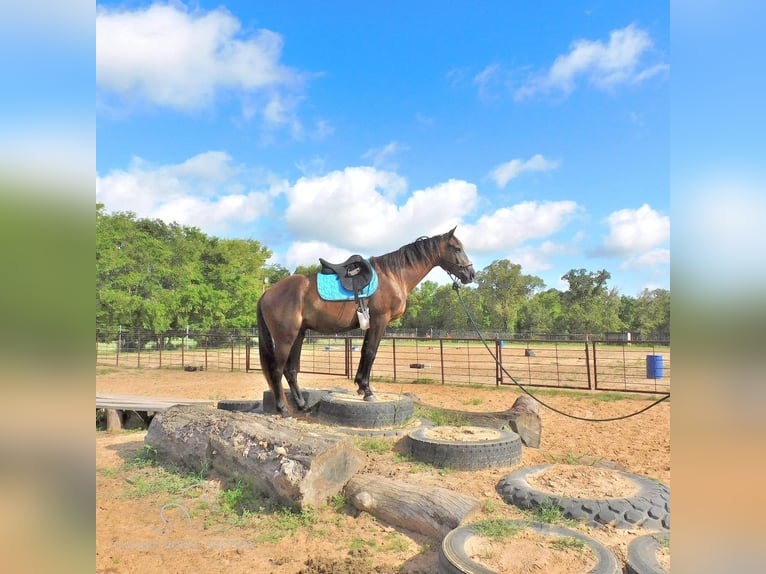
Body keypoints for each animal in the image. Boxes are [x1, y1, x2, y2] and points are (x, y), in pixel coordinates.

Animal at [256, 228, 474, 414]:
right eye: (457, 248)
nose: (471, 274)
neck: (394, 274)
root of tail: (267, 293)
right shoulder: (380, 320)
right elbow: (371, 352)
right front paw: (367, 391)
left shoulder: (370, 323)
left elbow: (364, 351)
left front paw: (362, 387)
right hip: (285, 338)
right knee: (277, 370)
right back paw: (282, 408)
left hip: (299, 335)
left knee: (291, 370)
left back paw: (302, 405)